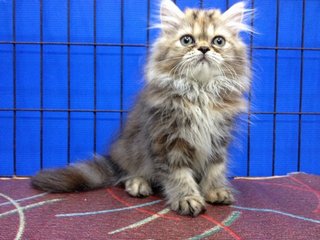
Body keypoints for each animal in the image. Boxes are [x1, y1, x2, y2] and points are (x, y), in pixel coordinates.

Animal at [32, 0, 252, 217]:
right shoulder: (168, 141)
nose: (204, 49)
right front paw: (187, 198)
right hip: (133, 152)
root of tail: (115, 158)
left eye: (218, 41)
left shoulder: (219, 139)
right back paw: (138, 184)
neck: (199, 91)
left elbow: (216, 168)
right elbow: (179, 175)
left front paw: (214, 190)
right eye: (187, 40)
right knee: (127, 174)